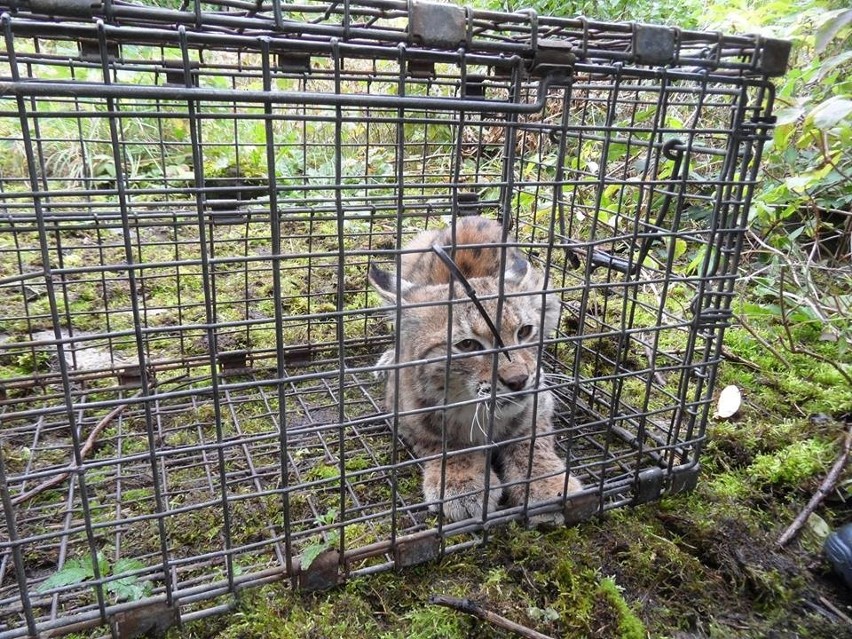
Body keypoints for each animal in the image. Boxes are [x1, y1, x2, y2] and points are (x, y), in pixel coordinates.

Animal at [370, 218, 584, 524]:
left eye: (525, 332)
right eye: (468, 345)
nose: (519, 380)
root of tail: (472, 218)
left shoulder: (540, 397)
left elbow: (531, 441)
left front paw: (546, 485)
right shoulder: (405, 412)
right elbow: (445, 443)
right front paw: (461, 483)